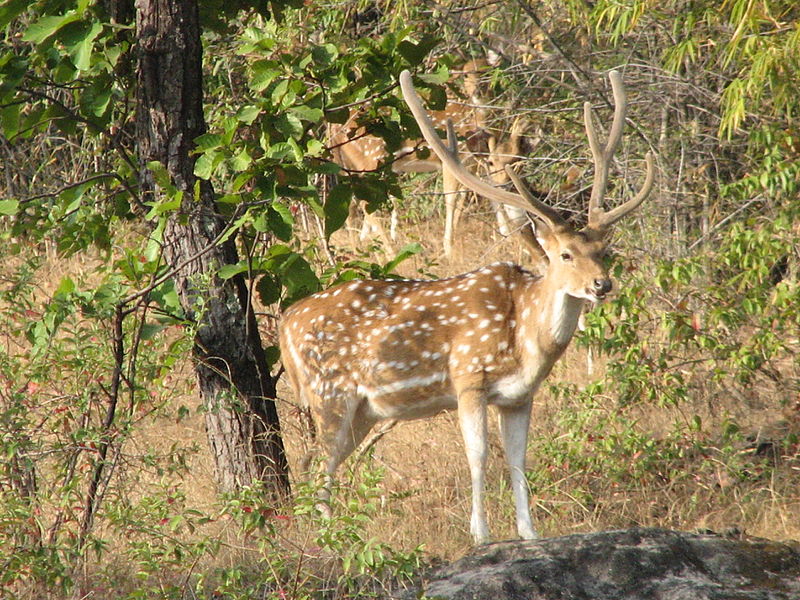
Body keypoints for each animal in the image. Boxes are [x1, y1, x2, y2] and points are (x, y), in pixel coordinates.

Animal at [278, 68, 652, 540]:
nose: (602, 285)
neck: (525, 337)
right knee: (317, 464)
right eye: (566, 254)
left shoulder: (518, 396)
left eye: (604, 250)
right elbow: (478, 457)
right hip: (330, 391)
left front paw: (529, 534)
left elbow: (518, 462)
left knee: (315, 460)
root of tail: (285, 321)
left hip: (363, 409)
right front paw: (481, 534)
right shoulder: (468, 377)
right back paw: (330, 537)